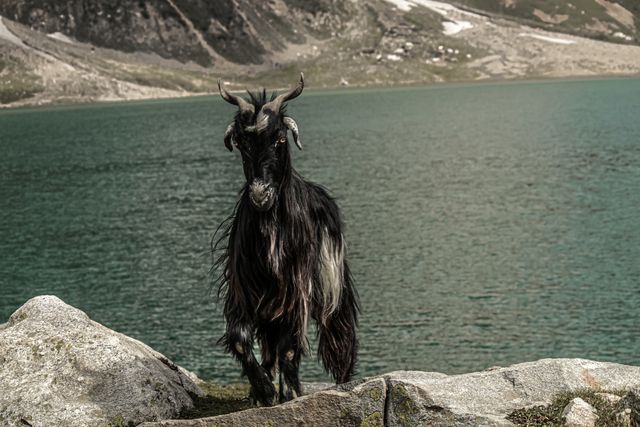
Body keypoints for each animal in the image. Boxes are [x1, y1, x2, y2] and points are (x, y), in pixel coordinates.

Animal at [213, 73, 359, 406]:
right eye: (241, 142)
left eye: (280, 138)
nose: (260, 195)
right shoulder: (245, 291)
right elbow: (241, 340)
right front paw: (263, 390)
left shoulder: (296, 291)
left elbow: (289, 346)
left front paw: (289, 392)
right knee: (268, 343)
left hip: (331, 284)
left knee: (334, 331)